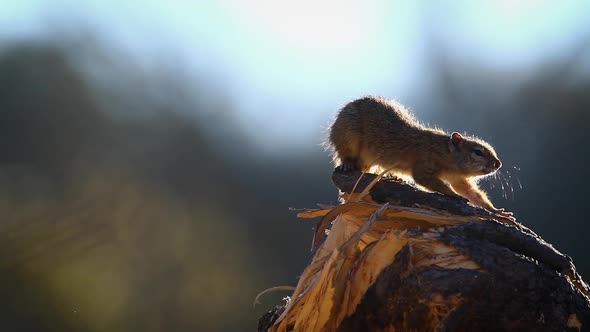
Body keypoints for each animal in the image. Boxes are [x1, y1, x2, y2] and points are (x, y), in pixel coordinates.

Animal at [330, 94, 516, 219]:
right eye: (478, 152)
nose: (498, 164)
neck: (445, 153)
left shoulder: (459, 179)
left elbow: (474, 194)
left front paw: (497, 211)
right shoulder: (425, 163)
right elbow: (428, 181)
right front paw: (453, 195)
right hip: (348, 136)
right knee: (346, 155)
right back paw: (347, 164)